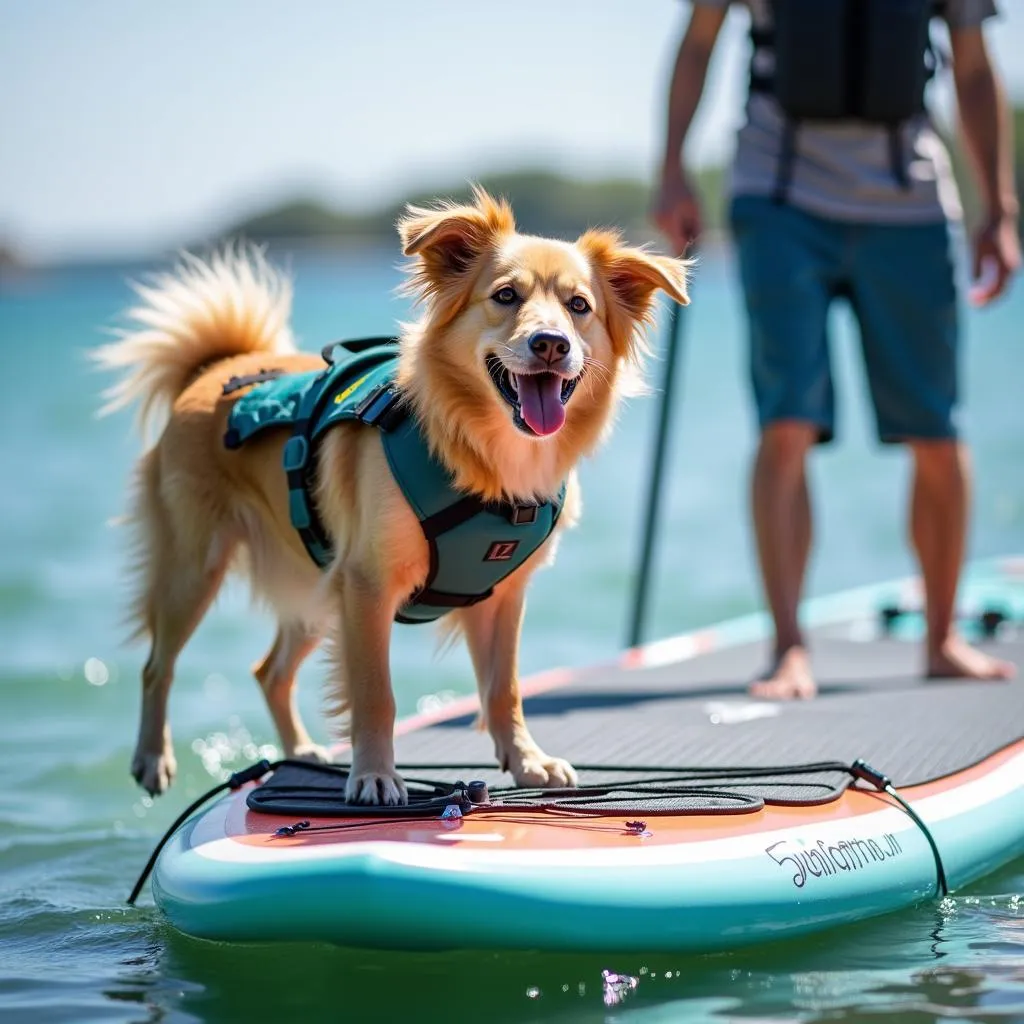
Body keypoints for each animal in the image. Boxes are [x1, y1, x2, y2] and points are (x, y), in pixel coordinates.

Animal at [97, 188, 688, 802]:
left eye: (579, 306)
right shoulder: (366, 584)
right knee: (157, 664)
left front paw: (527, 761)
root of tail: (218, 367)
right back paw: (153, 757)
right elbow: (374, 692)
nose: (551, 343)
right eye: (506, 295)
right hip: (198, 567)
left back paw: (300, 752)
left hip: (317, 584)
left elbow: (504, 688)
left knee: (270, 670)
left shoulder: (501, 597)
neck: (488, 457)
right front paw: (376, 775)